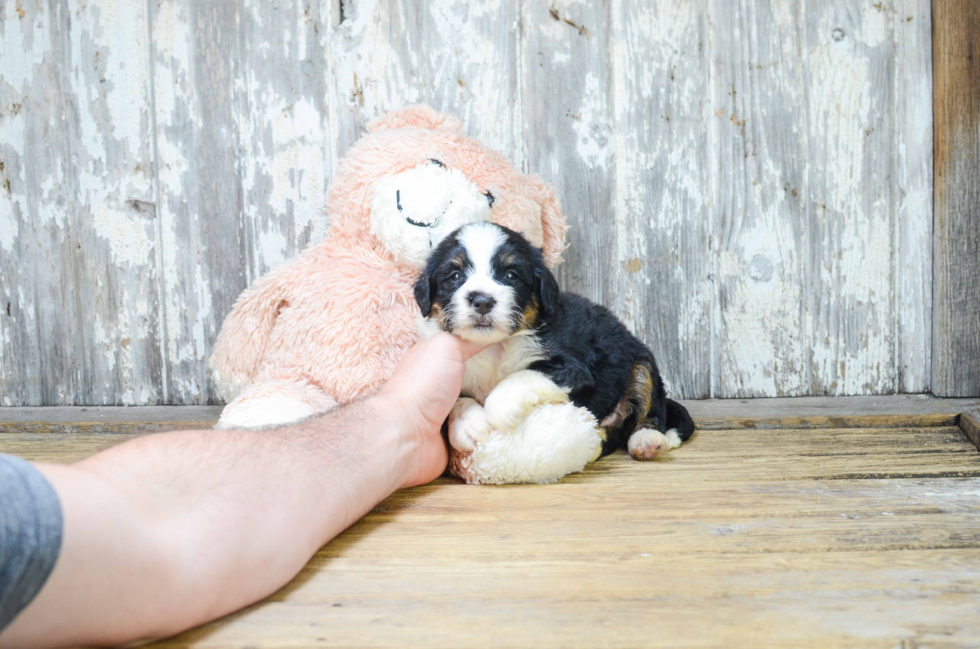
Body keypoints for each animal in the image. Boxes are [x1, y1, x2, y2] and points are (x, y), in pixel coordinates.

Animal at [414, 221, 696, 460]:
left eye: (511, 275)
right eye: (455, 276)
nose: (482, 300)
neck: (495, 345)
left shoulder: (573, 368)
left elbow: (525, 374)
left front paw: (499, 408)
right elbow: (457, 396)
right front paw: (468, 425)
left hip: (642, 363)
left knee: (651, 412)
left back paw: (647, 440)